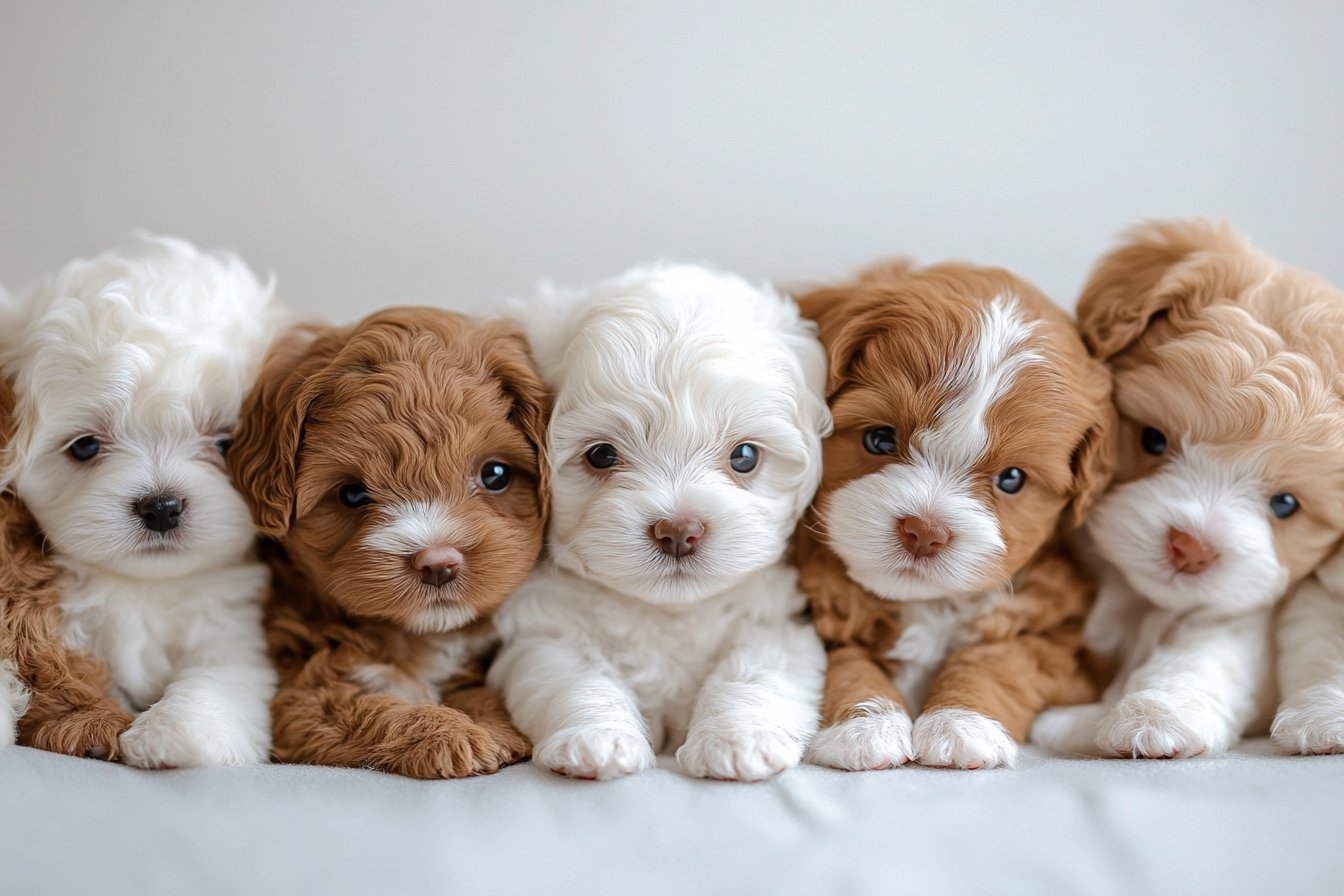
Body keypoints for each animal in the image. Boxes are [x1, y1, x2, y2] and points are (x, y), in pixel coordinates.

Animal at [0, 235, 290, 768]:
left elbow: (218, 681)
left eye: (225, 444)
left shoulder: (228, 633)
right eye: (85, 446)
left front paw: (175, 734)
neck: (141, 585)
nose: (161, 507)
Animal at [228, 306, 548, 779]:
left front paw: (496, 726)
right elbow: (377, 710)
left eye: (495, 475)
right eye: (352, 494)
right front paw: (453, 735)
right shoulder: (307, 695)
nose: (438, 562)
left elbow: (478, 691)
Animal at [489, 263, 833, 779]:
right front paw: (595, 739)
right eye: (601, 455)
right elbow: (576, 676)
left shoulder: (777, 625)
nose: (678, 530)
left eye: (745, 456)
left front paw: (738, 740)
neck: (668, 612)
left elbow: (753, 670)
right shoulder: (547, 632)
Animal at [790, 260, 1118, 773]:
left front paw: (962, 722)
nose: (924, 531)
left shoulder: (1058, 641)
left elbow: (999, 661)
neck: (929, 604)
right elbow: (848, 663)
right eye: (880, 439)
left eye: (1012, 479)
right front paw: (866, 726)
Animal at [1032, 220, 1344, 763]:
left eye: (1285, 504)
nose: (1191, 548)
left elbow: (1198, 655)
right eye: (1153, 440)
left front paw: (1156, 717)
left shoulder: (1233, 609)